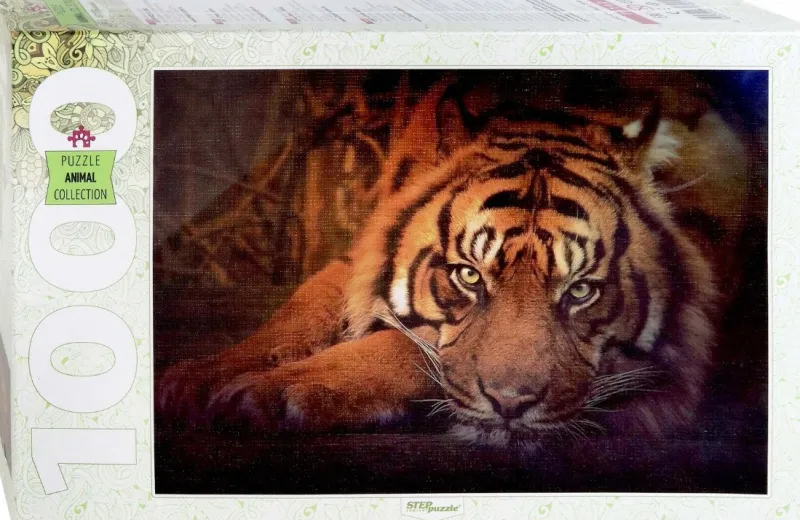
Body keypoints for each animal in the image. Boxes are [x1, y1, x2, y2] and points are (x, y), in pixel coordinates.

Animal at [157, 72, 758, 447]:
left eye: (581, 290)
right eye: (468, 275)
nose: (511, 406)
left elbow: (406, 345)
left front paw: (265, 391)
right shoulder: (359, 253)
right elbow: (302, 306)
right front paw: (200, 377)